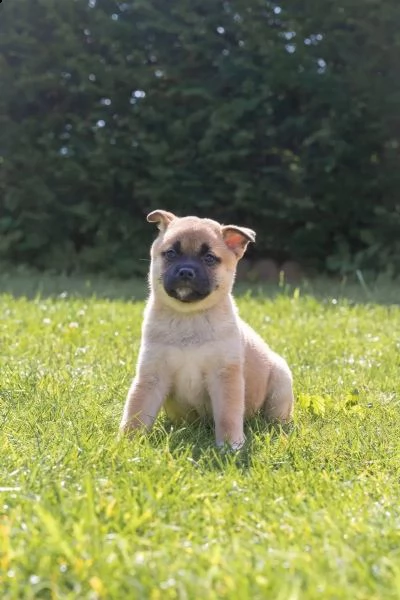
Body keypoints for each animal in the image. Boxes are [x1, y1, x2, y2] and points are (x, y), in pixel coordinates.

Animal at [119, 209, 294, 448]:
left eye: (209, 258)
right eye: (171, 253)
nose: (185, 272)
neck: (189, 317)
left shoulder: (224, 376)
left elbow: (228, 415)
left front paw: (230, 445)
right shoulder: (152, 375)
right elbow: (136, 410)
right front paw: (126, 443)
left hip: (281, 380)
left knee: (276, 417)